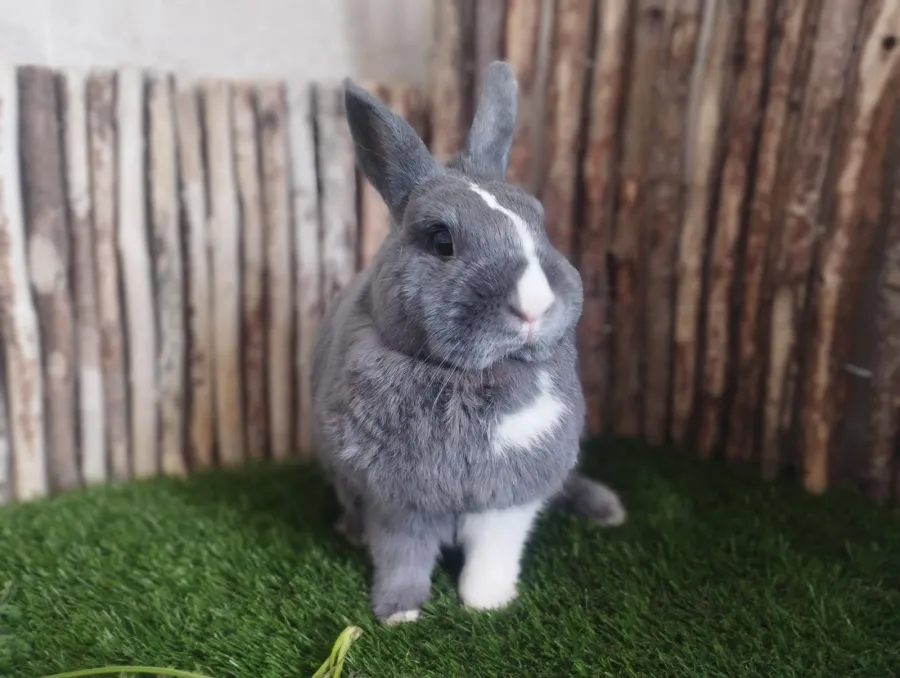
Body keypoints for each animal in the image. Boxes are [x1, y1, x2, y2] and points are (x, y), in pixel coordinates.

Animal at [311, 61, 626, 625]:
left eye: (540, 222)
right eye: (442, 242)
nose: (534, 305)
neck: (467, 377)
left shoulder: (508, 497)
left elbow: (492, 554)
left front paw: (486, 604)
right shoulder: (396, 502)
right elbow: (401, 555)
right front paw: (398, 613)